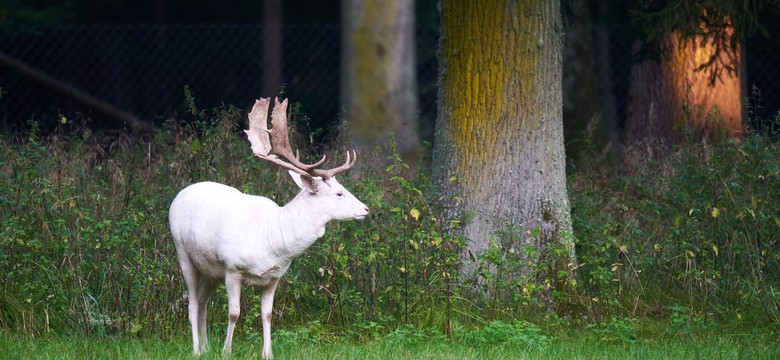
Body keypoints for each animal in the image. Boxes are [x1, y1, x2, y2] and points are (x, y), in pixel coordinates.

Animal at [168, 97, 368, 358]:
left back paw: (205, 346)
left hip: (211, 270)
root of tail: (179, 194)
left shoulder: (274, 277)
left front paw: (267, 353)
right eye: (339, 193)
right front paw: (227, 351)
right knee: (192, 303)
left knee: (202, 301)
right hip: (183, 253)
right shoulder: (232, 268)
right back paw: (196, 350)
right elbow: (234, 313)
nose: (365, 209)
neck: (271, 242)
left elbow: (268, 315)